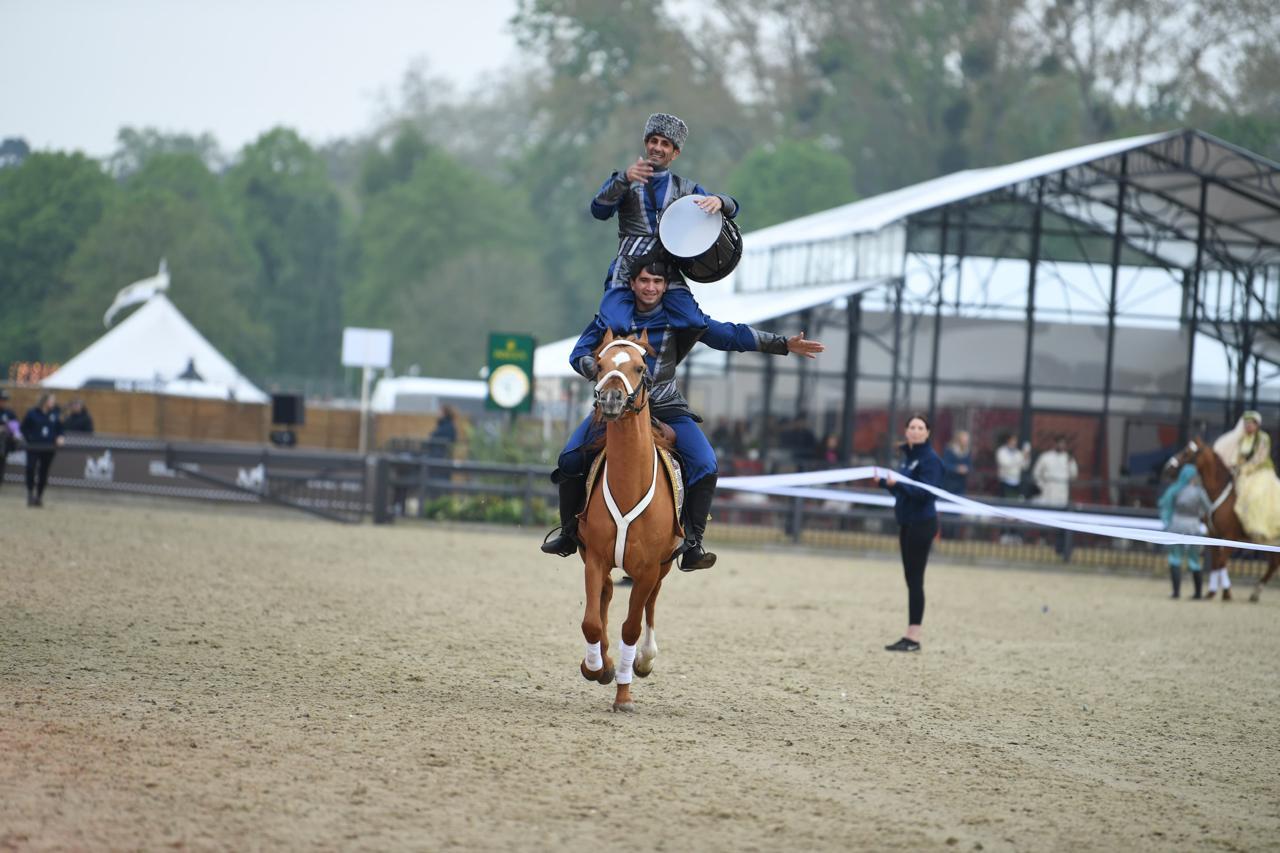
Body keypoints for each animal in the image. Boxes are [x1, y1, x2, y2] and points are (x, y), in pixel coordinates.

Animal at [578, 327, 686, 706]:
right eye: (599, 364)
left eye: (640, 367)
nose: (611, 399)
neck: (628, 485)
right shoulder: (595, 557)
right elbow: (592, 622)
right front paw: (597, 667)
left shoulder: (648, 568)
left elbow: (631, 626)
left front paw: (623, 693)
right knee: (607, 594)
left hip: (663, 566)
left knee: (651, 602)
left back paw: (644, 659)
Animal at [1172, 438, 1280, 596]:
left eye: (1187, 452)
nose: (1168, 466)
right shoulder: (1214, 534)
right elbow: (1215, 563)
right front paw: (1211, 592)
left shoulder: (1230, 536)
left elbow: (1222, 561)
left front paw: (1226, 593)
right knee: (1273, 564)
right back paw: (1255, 593)